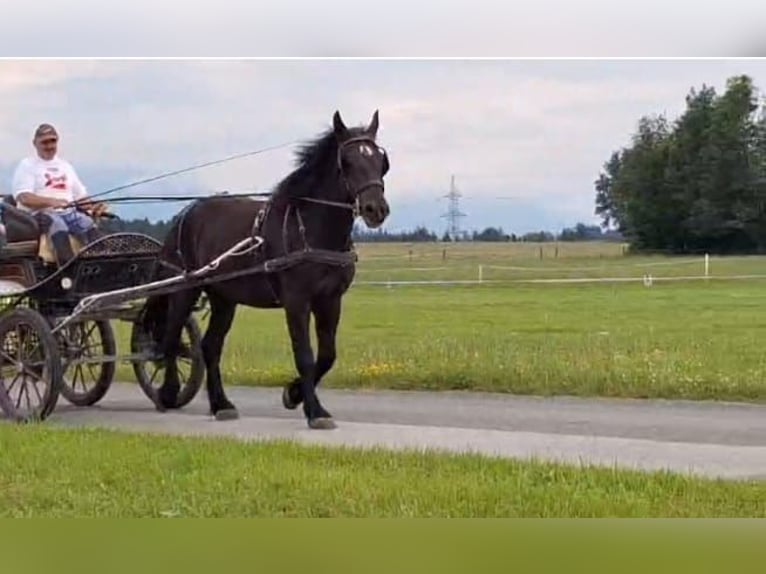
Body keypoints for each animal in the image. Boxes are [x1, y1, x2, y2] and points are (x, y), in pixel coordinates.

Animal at [140, 111, 390, 432]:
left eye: (381, 161)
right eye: (346, 162)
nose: (376, 209)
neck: (310, 229)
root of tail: (185, 214)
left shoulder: (330, 299)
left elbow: (327, 355)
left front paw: (293, 394)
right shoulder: (296, 301)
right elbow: (305, 355)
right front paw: (315, 411)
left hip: (224, 298)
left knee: (210, 346)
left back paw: (220, 404)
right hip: (186, 288)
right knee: (170, 338)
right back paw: (169, 393)